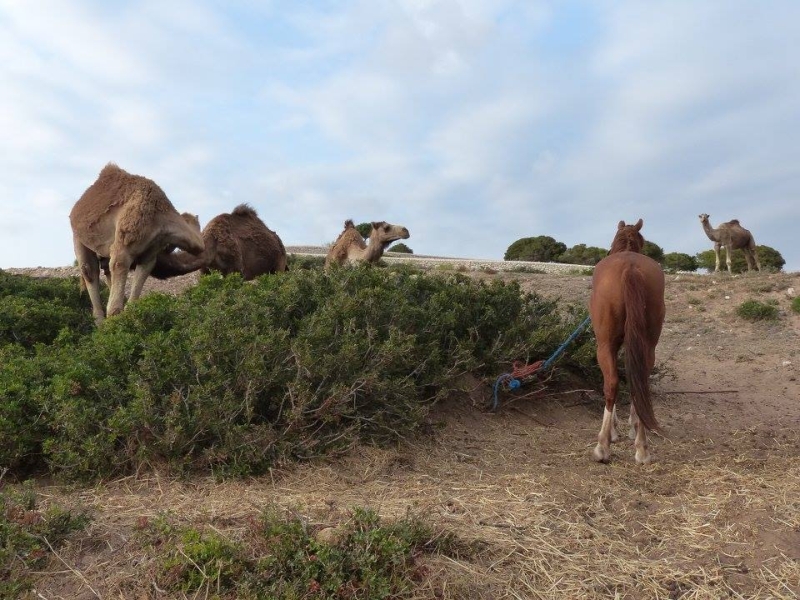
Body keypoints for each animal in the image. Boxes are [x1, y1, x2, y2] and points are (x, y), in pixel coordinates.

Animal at [70, 163, 205, 324]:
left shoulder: (150, 252)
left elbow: (138, 284)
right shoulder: (124, 246)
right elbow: (118, 272)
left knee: (106, 271)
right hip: (78, 238)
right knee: (89, 271)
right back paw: (100, 322)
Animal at [592, 220, 664, 464]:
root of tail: (630, 267)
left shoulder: (609, 346)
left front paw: (614, 431)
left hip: (604, 346)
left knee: (611, 384)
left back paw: (602, 446)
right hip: (648, 346)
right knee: (640, 382)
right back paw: (642, 448)